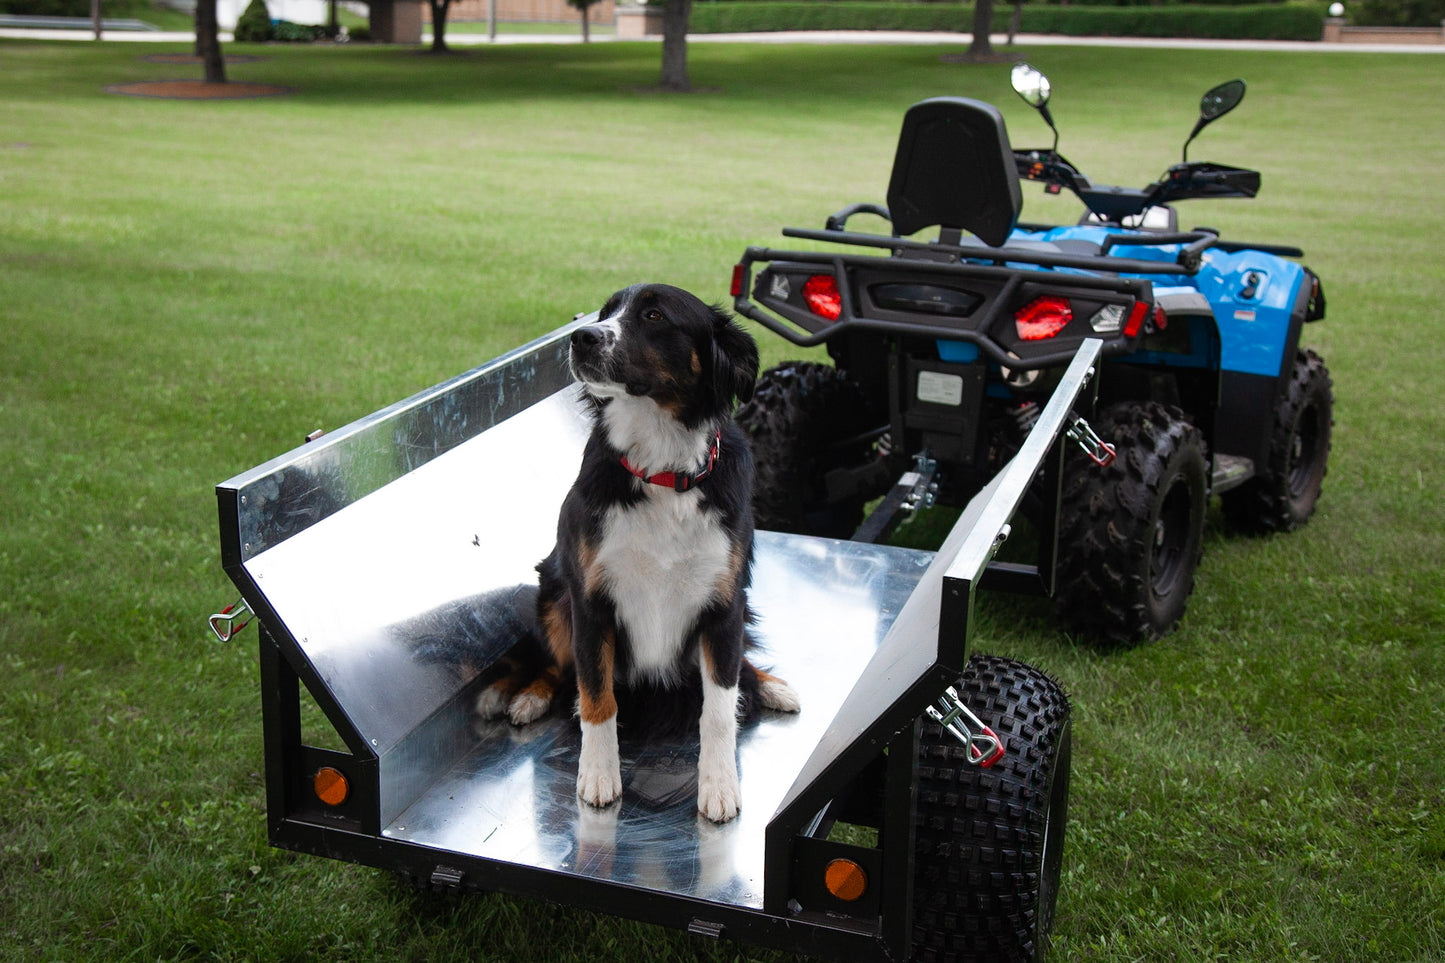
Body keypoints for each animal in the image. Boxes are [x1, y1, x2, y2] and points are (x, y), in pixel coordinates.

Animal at [479, 281, 803, 821]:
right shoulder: (590, 600)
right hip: (553, 593)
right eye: (606, 312)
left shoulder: (724, 603)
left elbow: (719, 707)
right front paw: (598, 775)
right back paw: (529, 696)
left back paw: (772, 686)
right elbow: (597, 697)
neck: (662, 472)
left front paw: (719, 786)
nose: (581, 338)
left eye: (654, 316)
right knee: (555, 665)